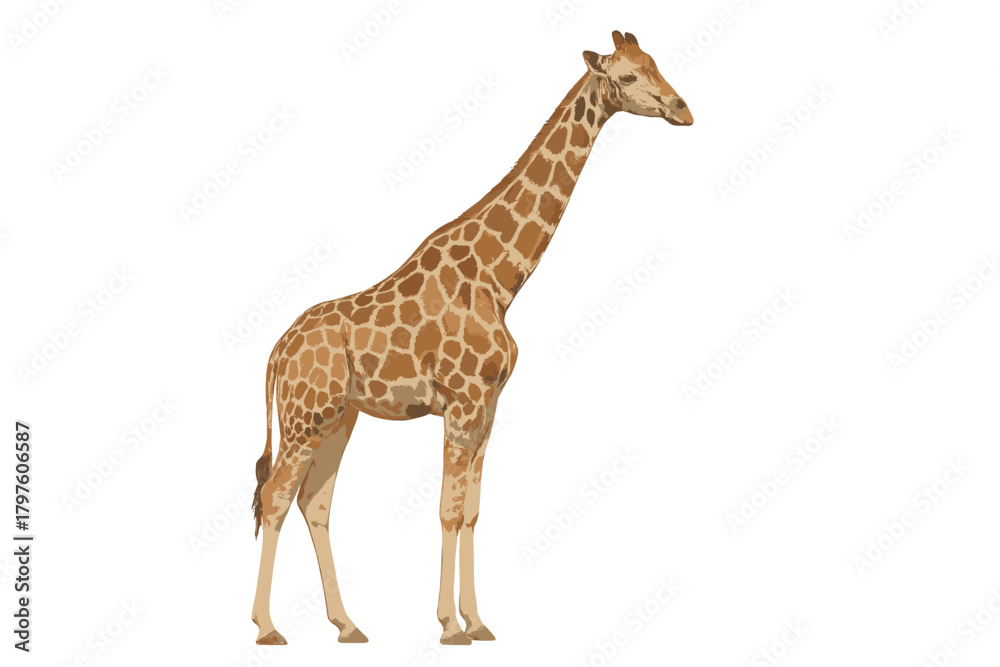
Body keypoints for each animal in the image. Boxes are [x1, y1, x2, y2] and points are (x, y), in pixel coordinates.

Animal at [250, 30, 693, 646]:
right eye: (627, 77)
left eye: (656, 64)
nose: (683, 109)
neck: (499, 279)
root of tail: (276, 350)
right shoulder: (461, 404)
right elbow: (447, 509)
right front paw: (448, 626)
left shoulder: (488, 405)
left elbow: (473, 511)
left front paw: (478, 622)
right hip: (304, 417)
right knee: (274, 497)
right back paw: (267, 628)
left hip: (340, 416)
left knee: (314, 503)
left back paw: (348, 625)